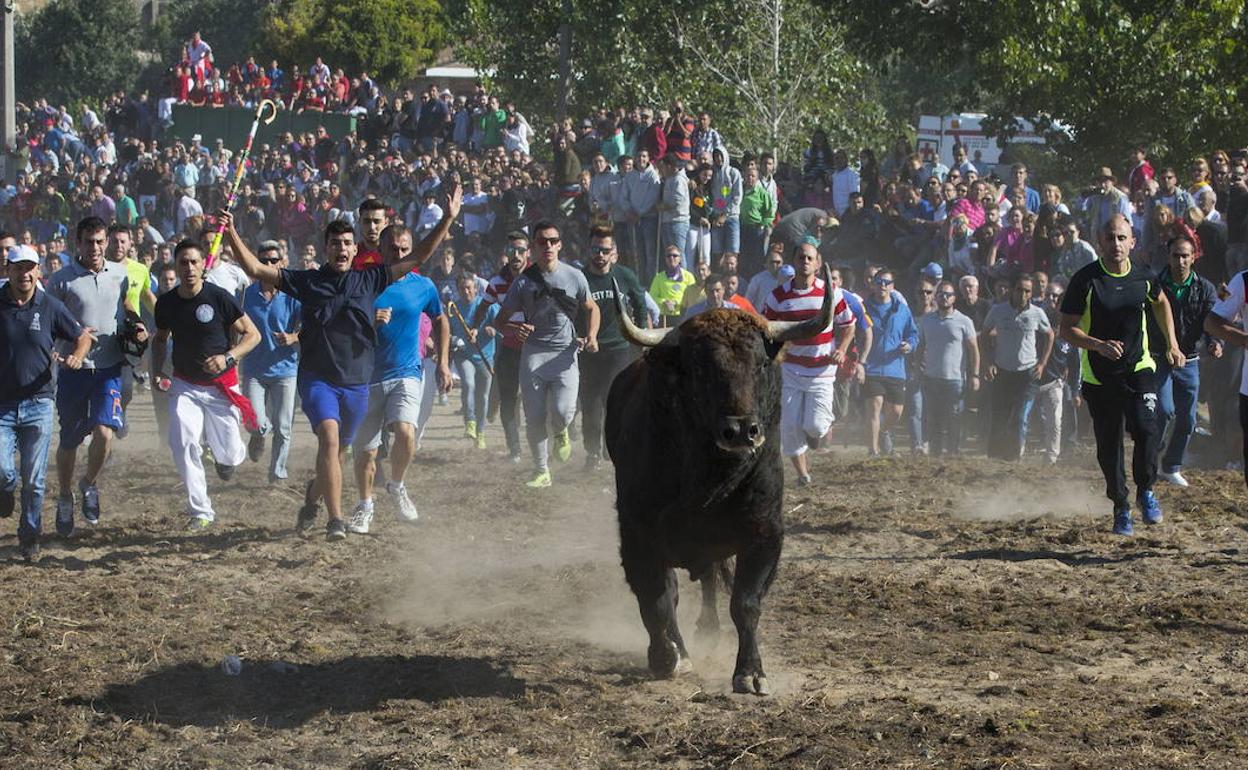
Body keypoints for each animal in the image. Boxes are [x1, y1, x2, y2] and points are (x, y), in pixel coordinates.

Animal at [601, 267, 828, 693]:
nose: (740, 431)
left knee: (708, 582)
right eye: (701, 368)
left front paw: (751, 673)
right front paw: (665, 657)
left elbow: (746, 602)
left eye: (760, 364)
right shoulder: (638, 536)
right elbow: (656, 599)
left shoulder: (765, 534)